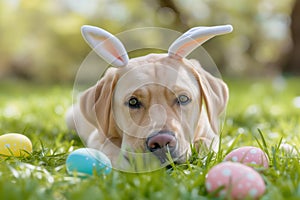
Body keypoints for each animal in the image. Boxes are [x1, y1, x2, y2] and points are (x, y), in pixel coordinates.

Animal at [67, 24, 233, 172]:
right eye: (133, 101)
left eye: (183, 99)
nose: (161, 142)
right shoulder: (97, 137)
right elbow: (107, 146)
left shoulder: (210, 133)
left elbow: (206, 143)